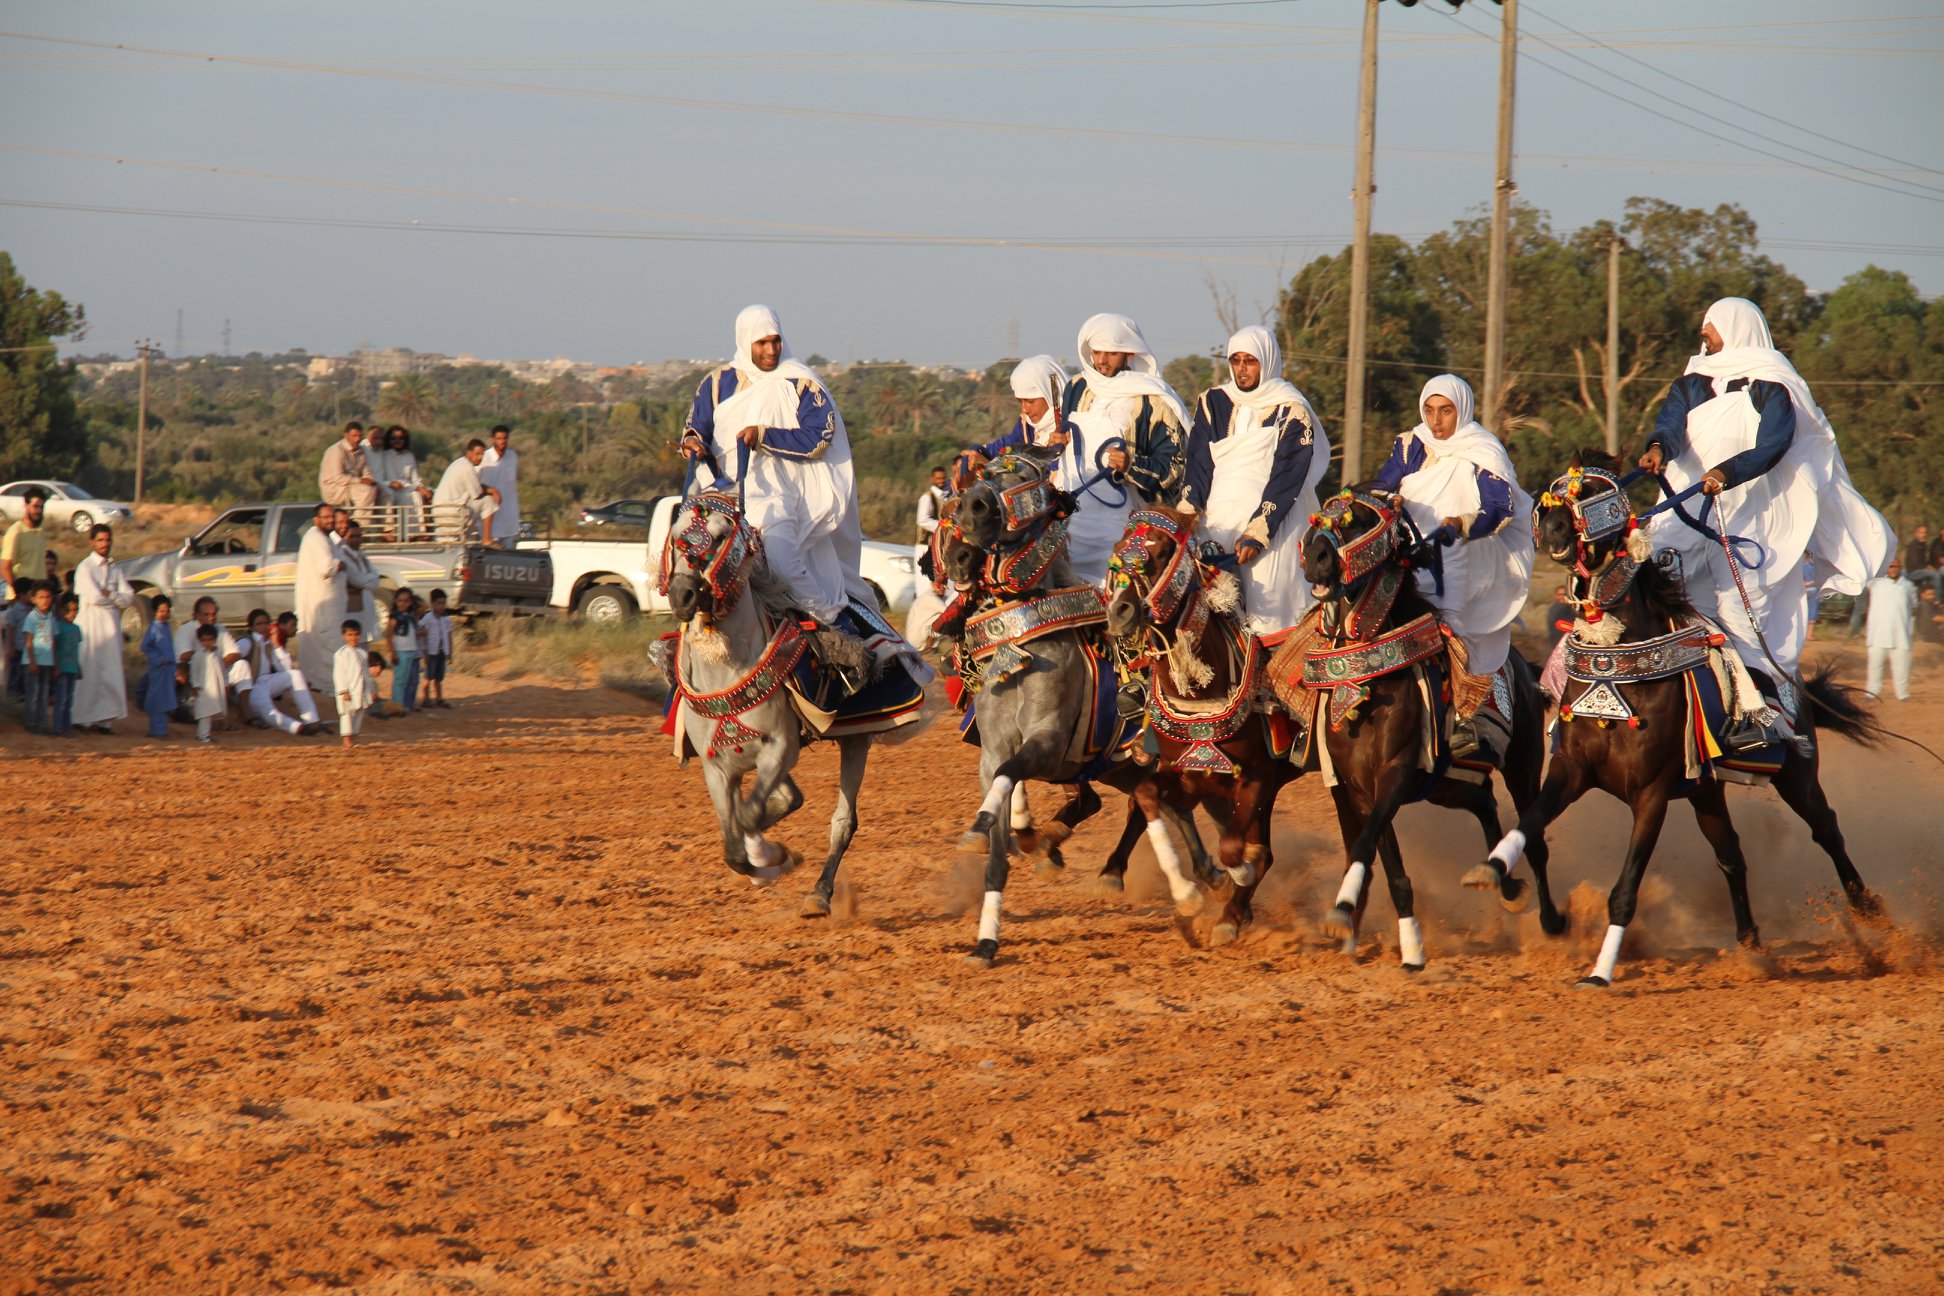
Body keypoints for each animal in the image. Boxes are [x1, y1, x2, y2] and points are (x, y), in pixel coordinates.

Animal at [664, 489, 878, 920]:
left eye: (719, 536)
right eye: (677, 535)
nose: (682, 595)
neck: (725, 668)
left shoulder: (780, 748)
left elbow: (748, 816)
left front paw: (773, 856)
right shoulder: (716, 767)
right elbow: (731, 845)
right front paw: (766, 860)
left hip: (856, 739)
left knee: (843, 821)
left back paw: (819, 894)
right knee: (789, 800)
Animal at [1104, 505, 1298, 944]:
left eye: (1160, 553)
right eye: (1118, 549)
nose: (1119, 612)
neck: (1200, 694)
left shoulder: (1258, 779)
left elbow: (1235, 848)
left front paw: (1234, 875)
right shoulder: (1186, 775)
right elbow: (1145, 796)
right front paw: (1188, 893)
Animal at [1290, 489, 1562, 971]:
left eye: (1359, 520)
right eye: (1320, 515)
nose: (1315, 557)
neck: (1366, 686)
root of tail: (1525, 669)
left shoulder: (1394, 775)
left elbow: (1366, 846)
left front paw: (1393, 940)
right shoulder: (1357, 788)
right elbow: (1381, 859)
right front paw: (1364, 924)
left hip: (1522, 765)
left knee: (1534, 840)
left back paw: (1547, 918)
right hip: (1442, 784)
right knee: (1483, 801)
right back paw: (1504, 885)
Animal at [1477, 450, 1874, 987]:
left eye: (1594, 495)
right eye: (1555, 491)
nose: (1553, 526)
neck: (1619, 663)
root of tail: (1790, 677)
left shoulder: (1651, 793)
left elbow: (1624, 891)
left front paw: (1601, 973)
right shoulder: (1572, 770)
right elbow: (1530, 824)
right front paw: (1493, 870)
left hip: (1795, 774)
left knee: (1826, 830)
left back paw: (1871, 916)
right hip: (1706, 789)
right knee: (1731, 855)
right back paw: (1751, 946)